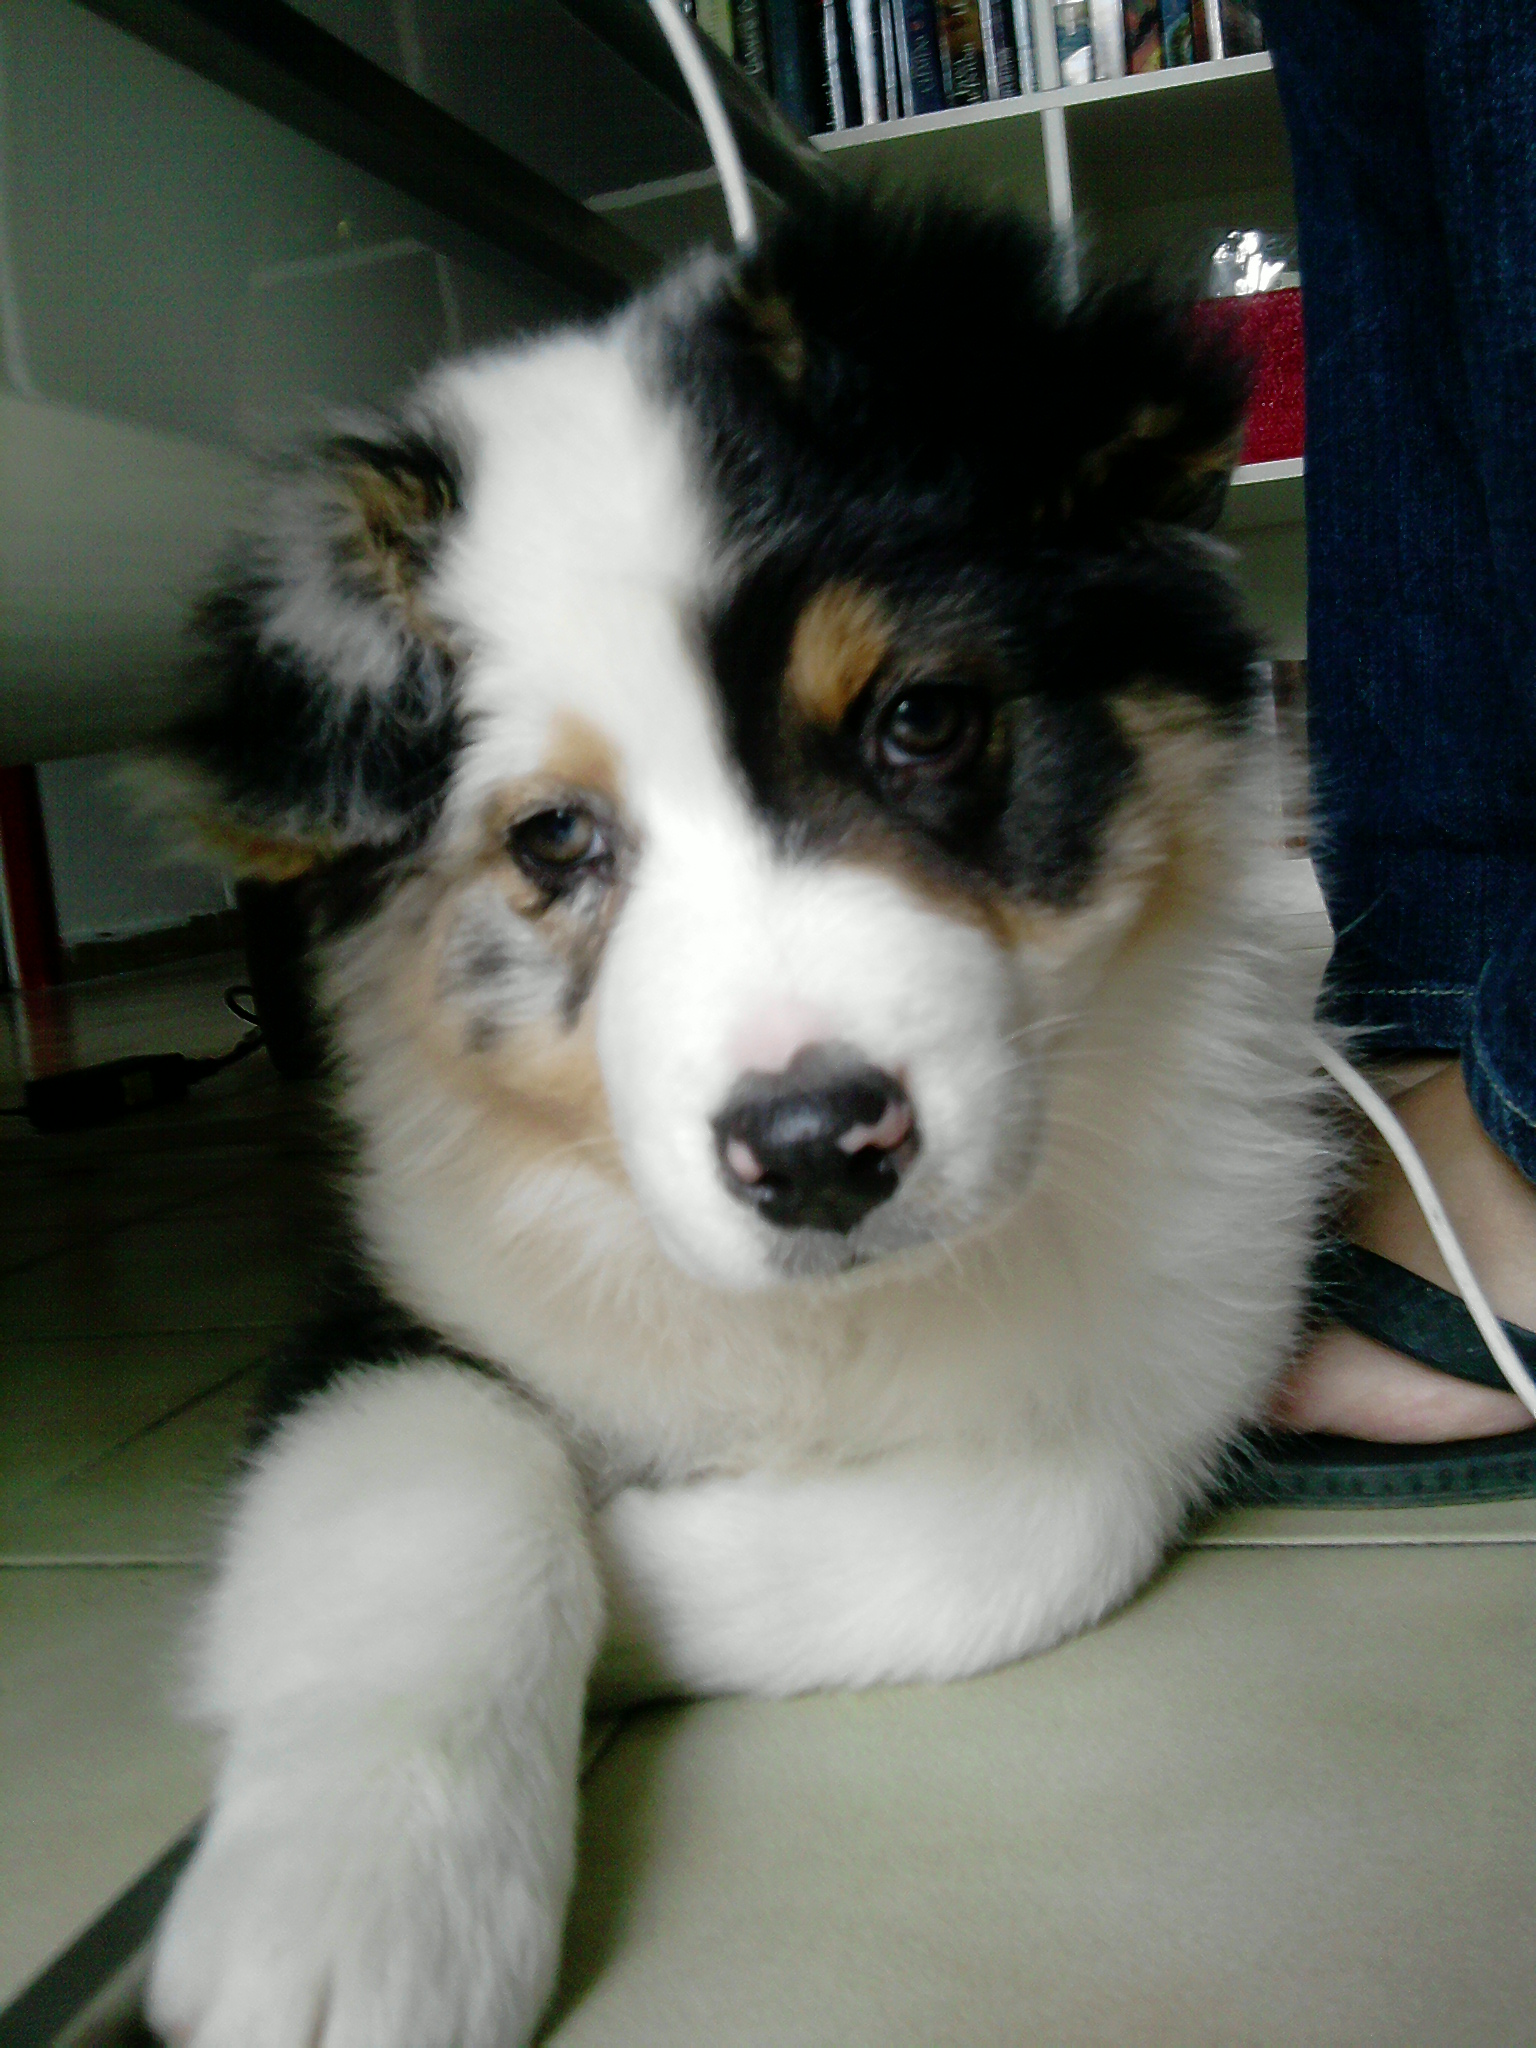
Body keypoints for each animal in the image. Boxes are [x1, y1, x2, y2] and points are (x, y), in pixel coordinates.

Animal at [145, 195, 1325, 2048]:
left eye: (922, 718)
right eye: (553, 838)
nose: (820, 1150)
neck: (819, 1333)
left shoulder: (1197, 1333)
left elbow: (1042, 1523)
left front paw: (631, 1574)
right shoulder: (396, 1296)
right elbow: (437, 1489)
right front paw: (350, 1912)